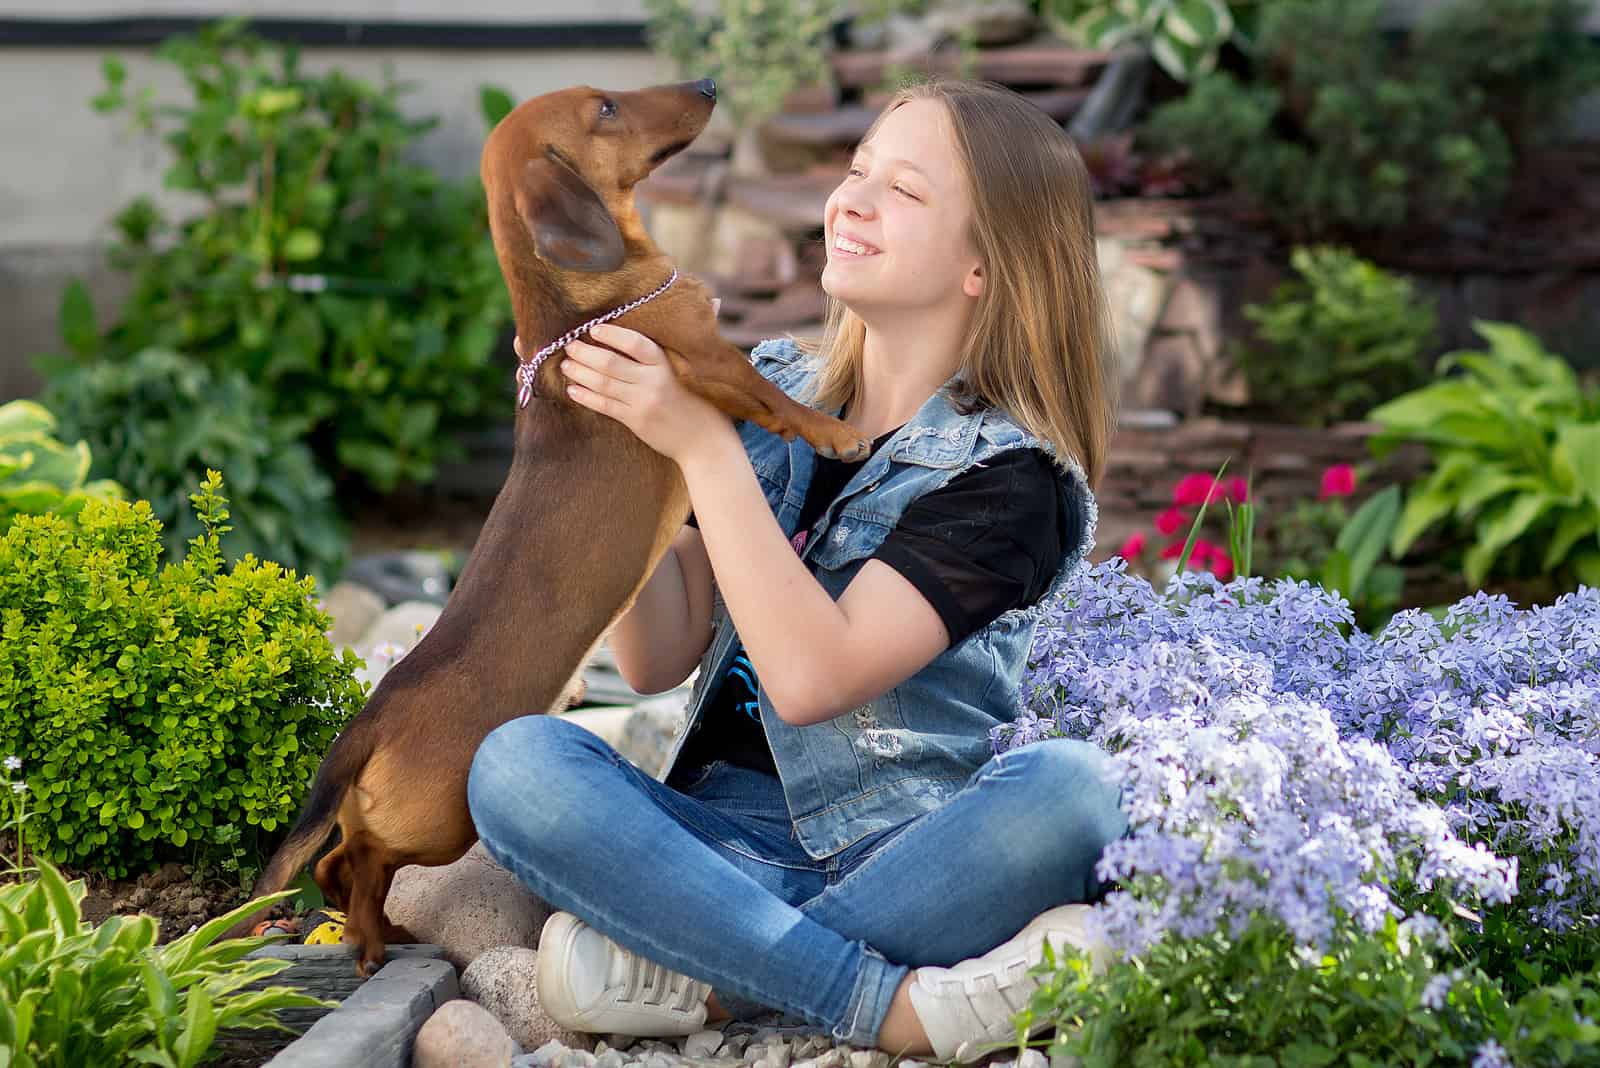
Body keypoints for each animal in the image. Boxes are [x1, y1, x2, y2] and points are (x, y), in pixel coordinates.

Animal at [225, 77, 876, 978]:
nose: (709, 84)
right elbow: (772, 394)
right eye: (605, 108)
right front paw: (836, 431)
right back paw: (371, 943)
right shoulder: (708, 364)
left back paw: (383, 934)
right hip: (442, 816)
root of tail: (366, 720)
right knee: (359, 860)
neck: (582, 305)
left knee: (339, 863)